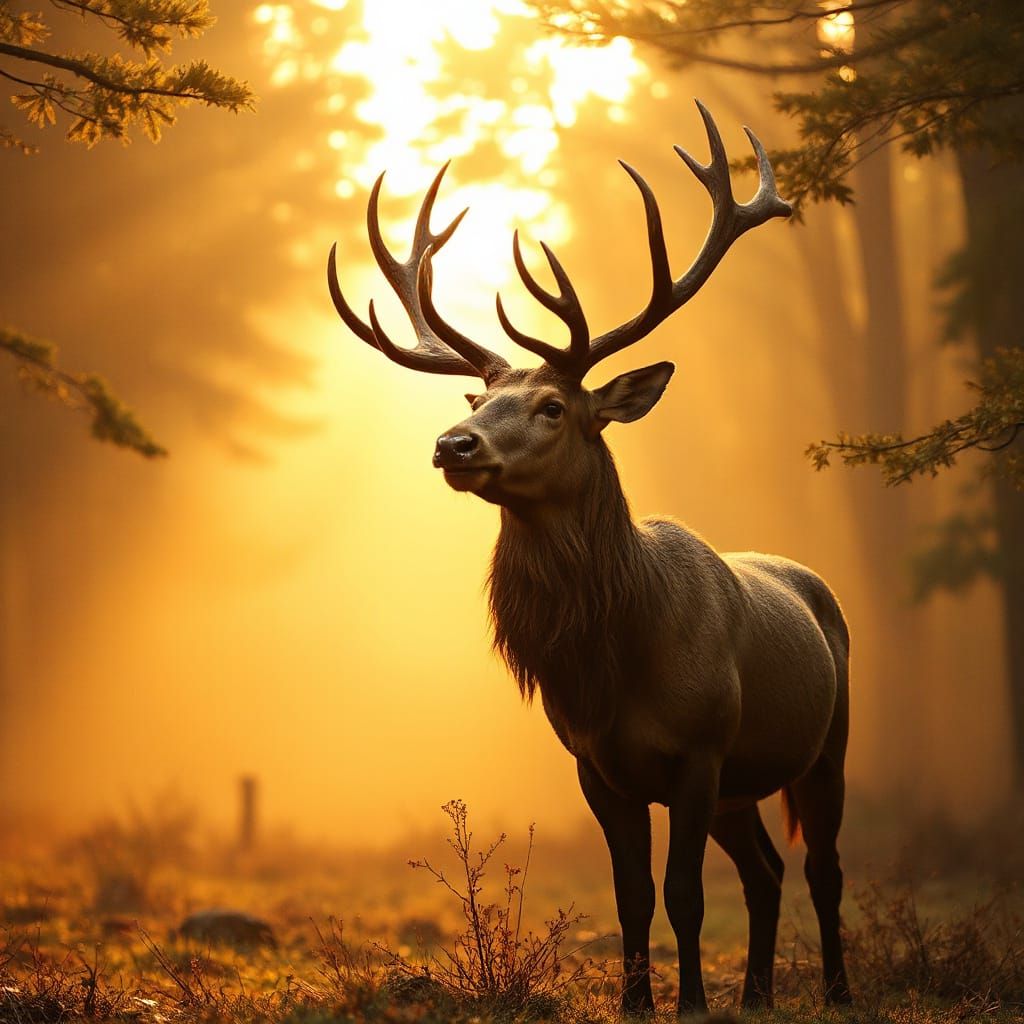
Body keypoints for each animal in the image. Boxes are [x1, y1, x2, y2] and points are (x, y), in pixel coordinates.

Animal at [327, 101, 852, 1016]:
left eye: (552, 407)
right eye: (479, 398)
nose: (452, 443)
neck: (618, 659)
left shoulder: (700, 749)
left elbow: (684, 893)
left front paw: (689, 1002)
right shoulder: (597, 766)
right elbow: (632, 894)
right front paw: (638, 1002)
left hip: (830, 742)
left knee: (823, 867)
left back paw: (836, 992)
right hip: (745, 782)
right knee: (767, 870)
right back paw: (757, 994)